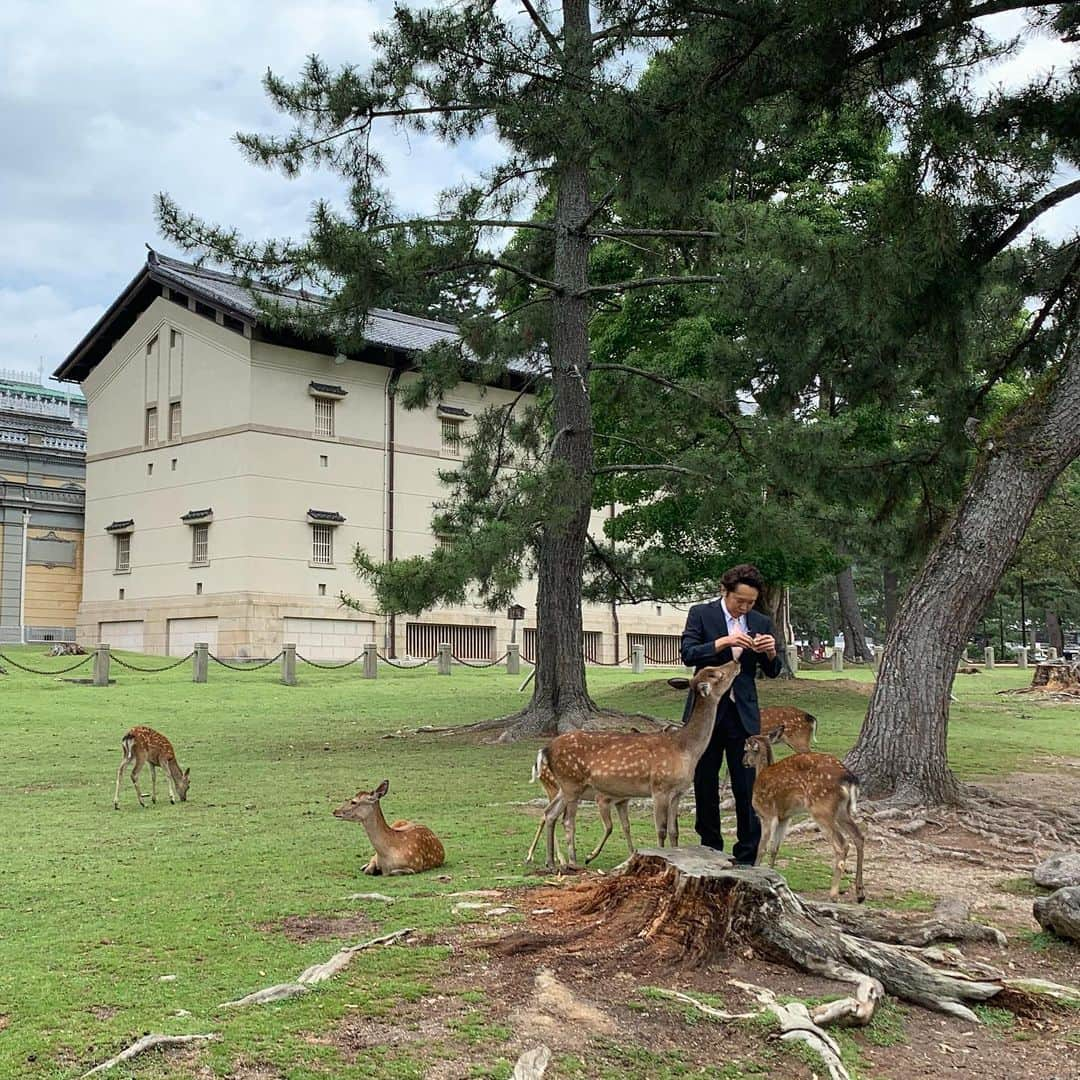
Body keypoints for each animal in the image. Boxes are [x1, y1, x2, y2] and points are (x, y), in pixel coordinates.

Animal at [533, 656, 738, 868]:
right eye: (714, 673)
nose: (736, 662)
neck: (686, 749)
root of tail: (546, 749)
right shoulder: (659, 787)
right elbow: (661, 830)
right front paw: (662, 858)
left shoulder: (677, 792)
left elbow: (674, 831)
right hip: (572, 782)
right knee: (567, 820)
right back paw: (573, 861)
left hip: (565, 787)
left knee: (550, 813)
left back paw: (551, 862)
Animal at [747, 725, 864, 902]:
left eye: (745, 748)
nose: (743, 761)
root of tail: (850, 779)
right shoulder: (785, 817)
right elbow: (775, 848)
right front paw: (772, 875)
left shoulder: (767, 814)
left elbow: (762, 847)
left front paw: (757, 870)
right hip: (842, 811)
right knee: (859, 837)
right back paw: (860, 893)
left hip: (821, 808)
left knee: (842, 844)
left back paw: (833, 894)